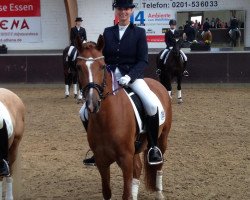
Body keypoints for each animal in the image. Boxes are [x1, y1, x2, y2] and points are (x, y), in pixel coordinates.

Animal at [75, 35, 171, 199]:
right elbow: (107, 192)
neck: (106, 120)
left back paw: (159, 193)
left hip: (162, 138)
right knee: (138, 168)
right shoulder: (101, 161)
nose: (92, 104)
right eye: (78, 67)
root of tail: (156, 83)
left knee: (159, 164)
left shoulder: (125, 160)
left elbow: (125, 194)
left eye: (102, 66)